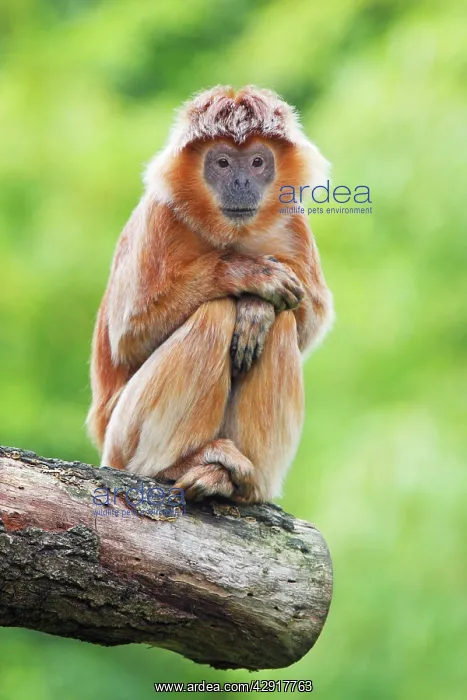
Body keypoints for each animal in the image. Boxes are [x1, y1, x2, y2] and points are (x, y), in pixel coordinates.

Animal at [87, 86, 334, 504]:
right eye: (222, 162)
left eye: (257, 162)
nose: (241, 184)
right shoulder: (160, 216)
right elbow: (129, 336)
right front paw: (245, 274)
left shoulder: (293, 223)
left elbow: (309, 321)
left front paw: (256, 308)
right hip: (122, 438)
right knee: (215, 314)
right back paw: (175, 465)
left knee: (281, 323)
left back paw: (241, 486)